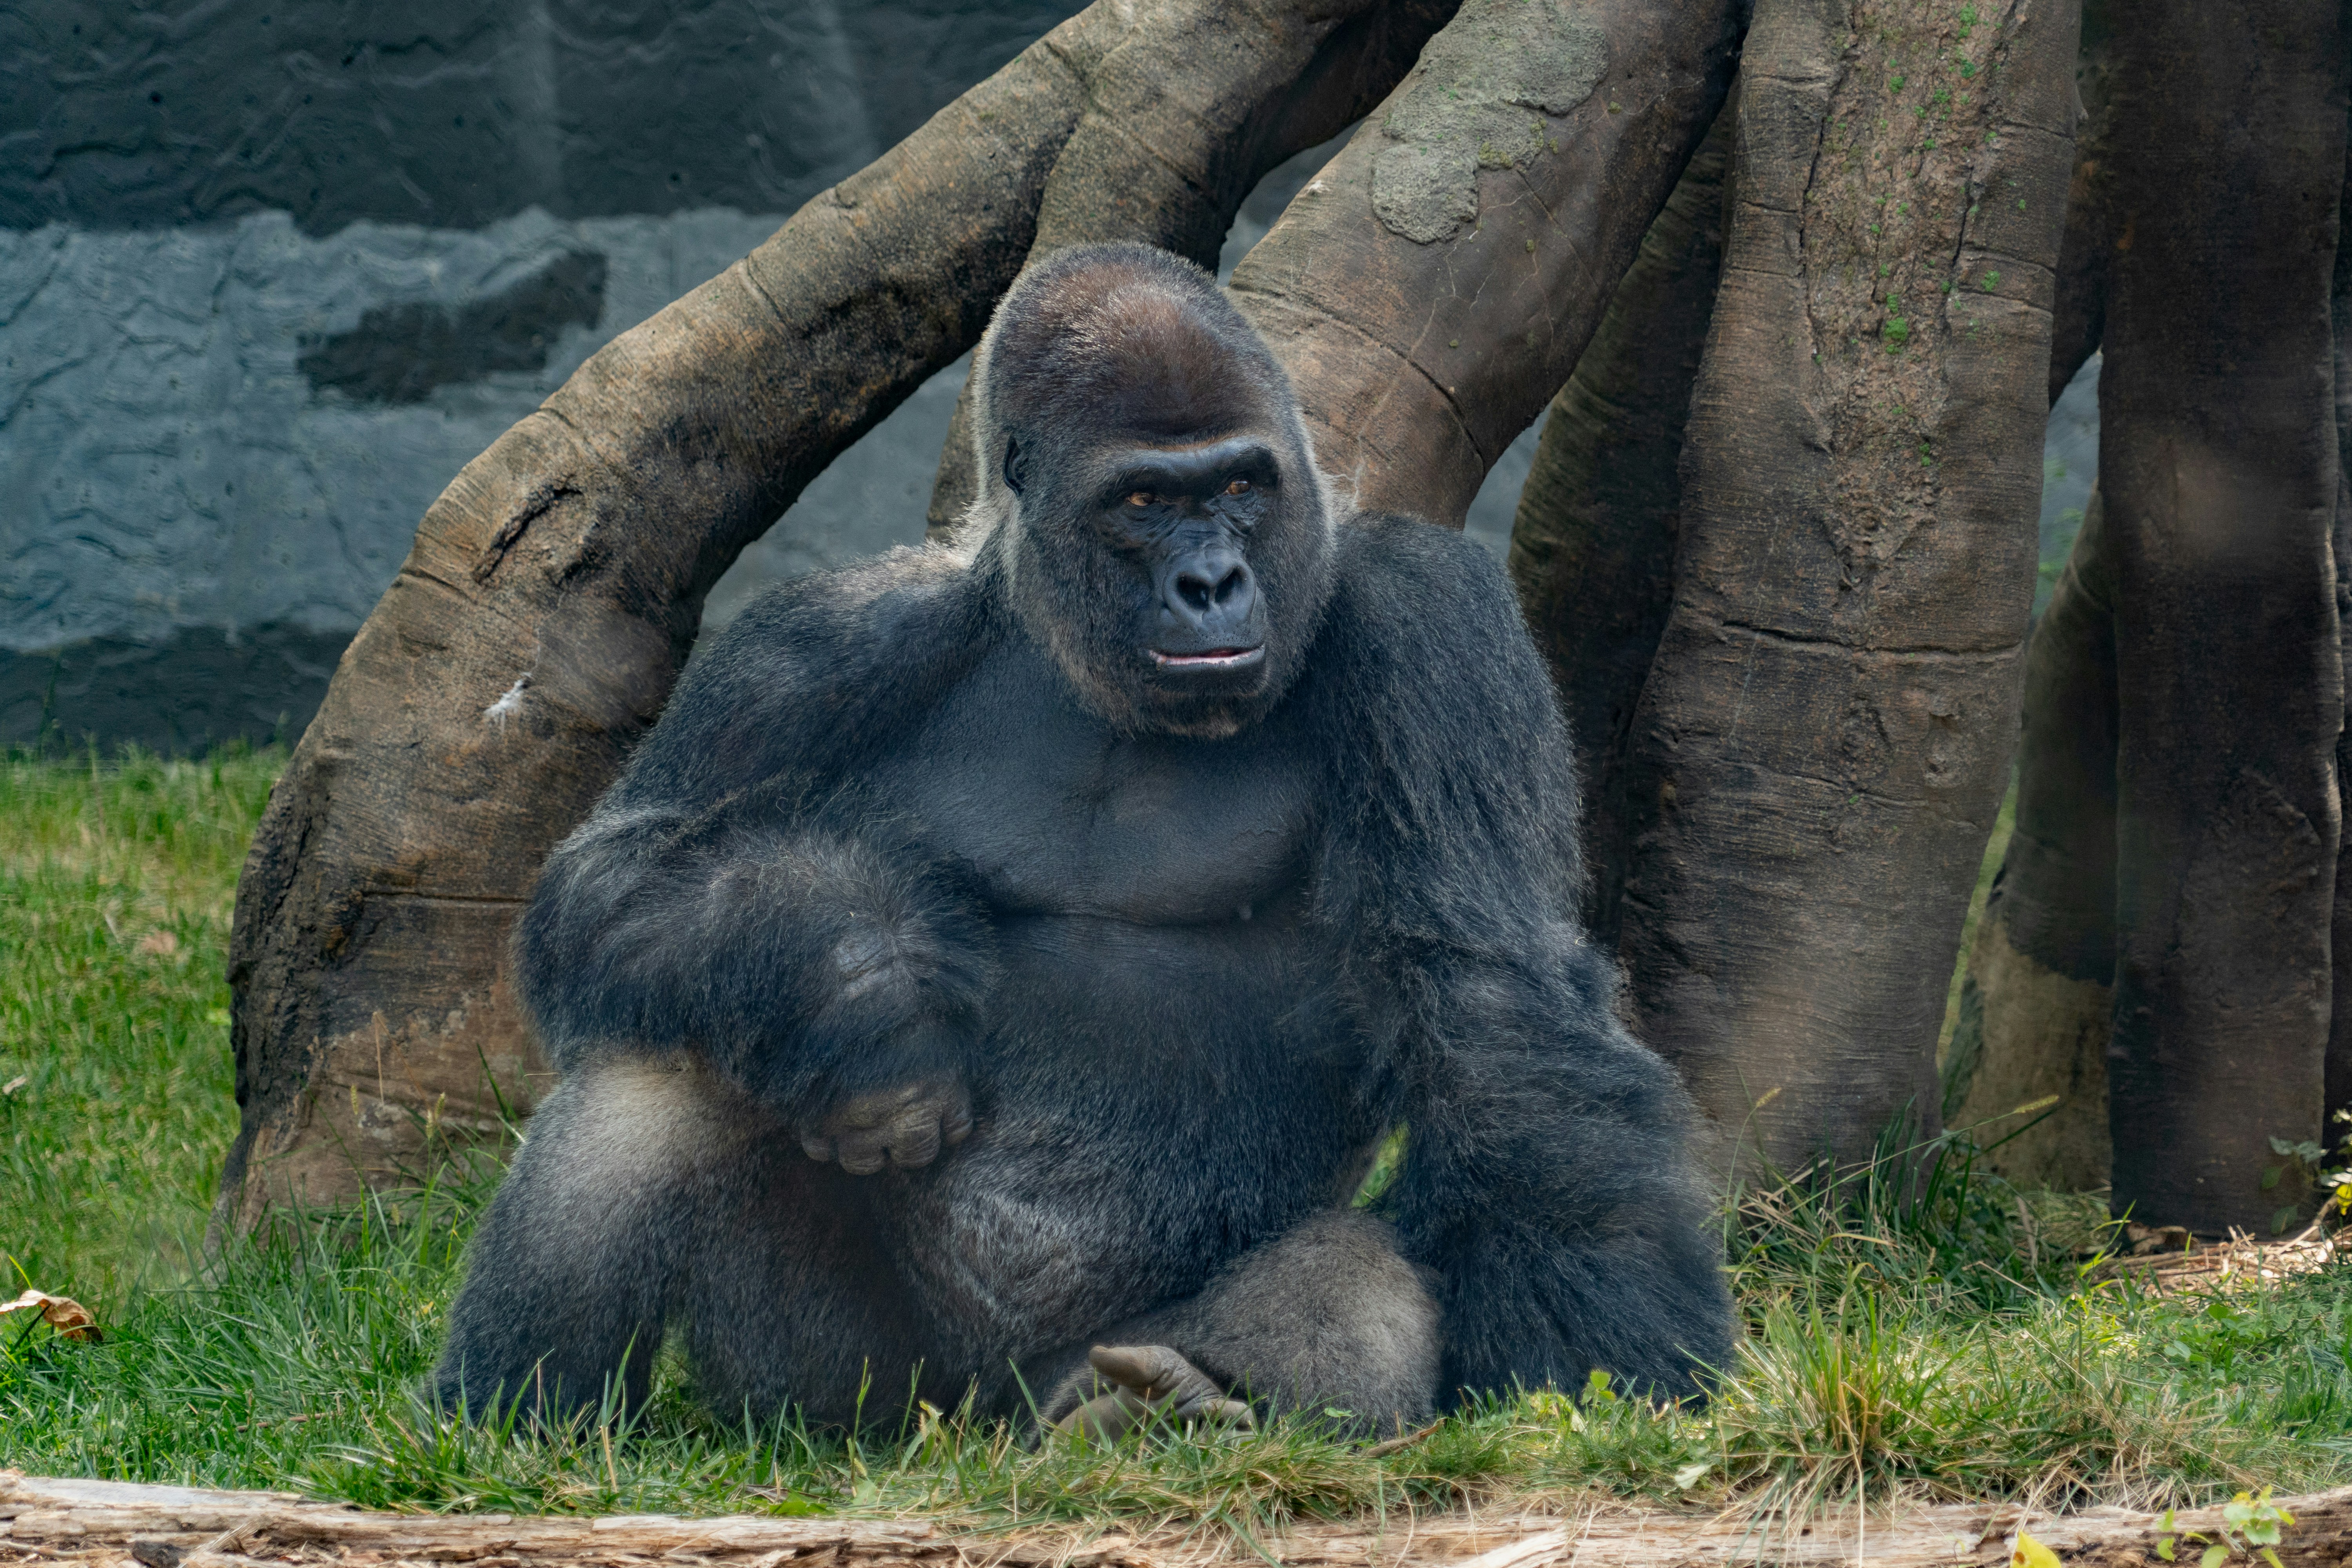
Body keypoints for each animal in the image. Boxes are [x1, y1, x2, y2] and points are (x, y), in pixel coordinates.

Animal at [431, 242, 1734, 1437]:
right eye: (1144, 502)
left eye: (1242, 486)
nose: (1211, 583)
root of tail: (977, 1434)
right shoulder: (818, 639)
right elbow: (609, 875)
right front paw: (861, 986)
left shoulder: (1427, 617)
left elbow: (1488, 990)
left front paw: (1603, 1346)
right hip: (841, 1406)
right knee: (657, 1068)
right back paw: (510, 1427)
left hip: (1047, 1381)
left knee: (1353, 1286)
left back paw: (1169, 1404)